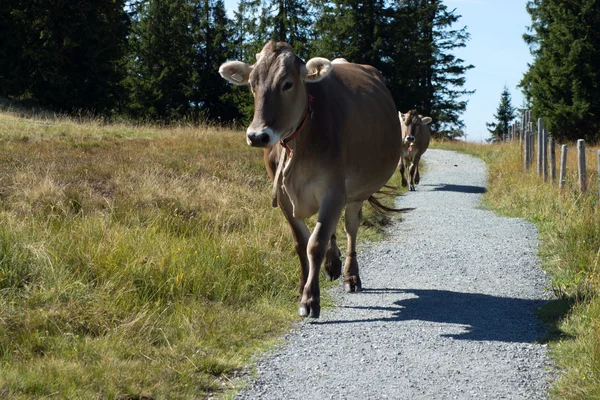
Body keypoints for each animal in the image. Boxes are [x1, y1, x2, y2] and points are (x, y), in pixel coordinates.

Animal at [218, 42, 400, 318]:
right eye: (252, 83)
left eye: (287, 84)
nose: (257, 136)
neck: (298, 143)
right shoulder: (282, 196)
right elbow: (301, 242)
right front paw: (302, 287)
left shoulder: (334, 191)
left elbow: (315, 243)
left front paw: (310, 299)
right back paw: (332, 263)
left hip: (355, 193)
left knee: (351, 227)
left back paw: (350, 275)